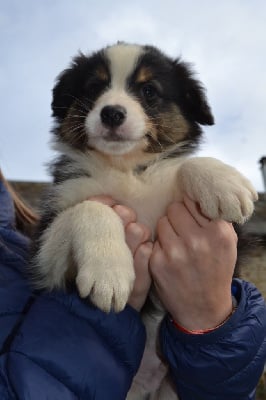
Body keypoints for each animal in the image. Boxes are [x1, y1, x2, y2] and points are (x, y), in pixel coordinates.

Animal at [31, 43, 258, 400]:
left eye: (149, 90)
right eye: (94, 87)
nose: (111, 113)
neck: (125, 168)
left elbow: (183, 165)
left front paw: (223, 181)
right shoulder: (45, 250)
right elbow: (92, 209)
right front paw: (108, 273)